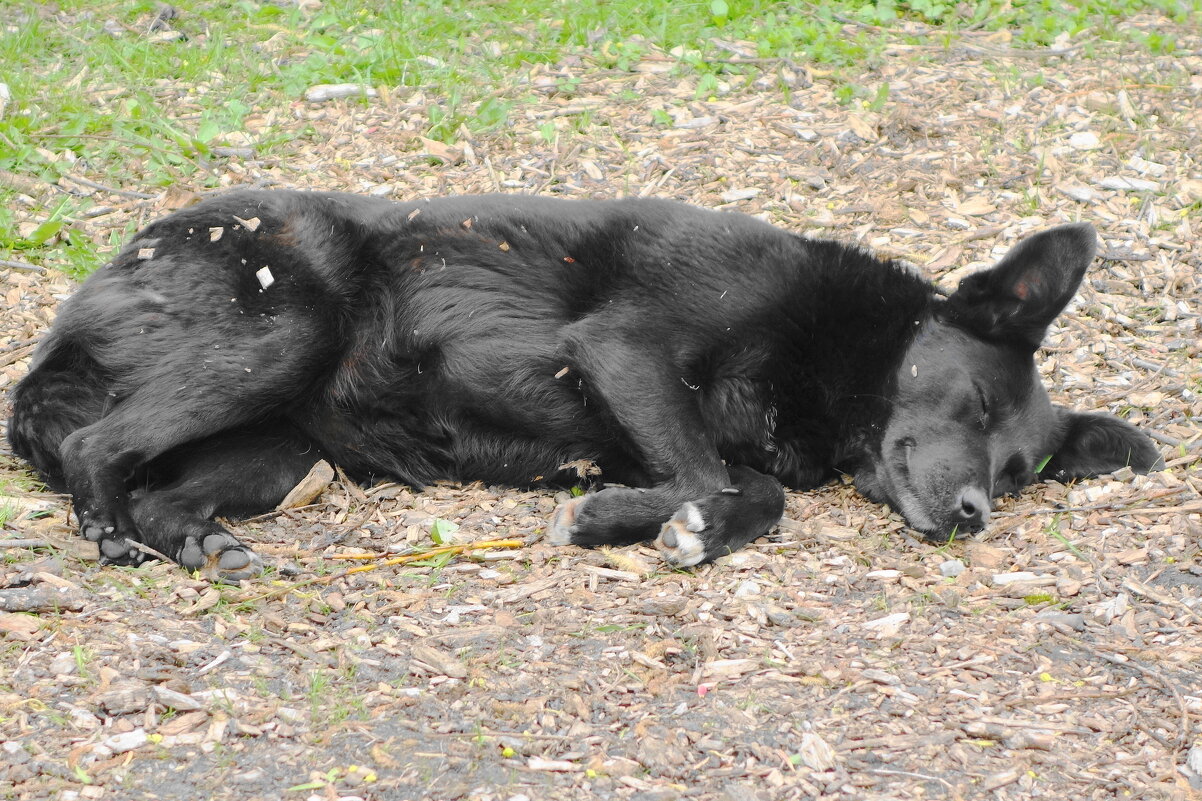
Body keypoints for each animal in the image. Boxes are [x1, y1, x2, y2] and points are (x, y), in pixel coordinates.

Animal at [4, 190, 1158, 577]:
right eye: (973, 405)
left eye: (1016, 475)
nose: (972, 514)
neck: (824, 342)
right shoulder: (623, 347)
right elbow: (708, 472)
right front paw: (625, 519)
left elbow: (745, 485)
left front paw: (664, 525)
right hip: (286, 328)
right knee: (96, 451)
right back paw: (105, 528)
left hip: (283, 447)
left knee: (162, 489)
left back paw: (199, 542)